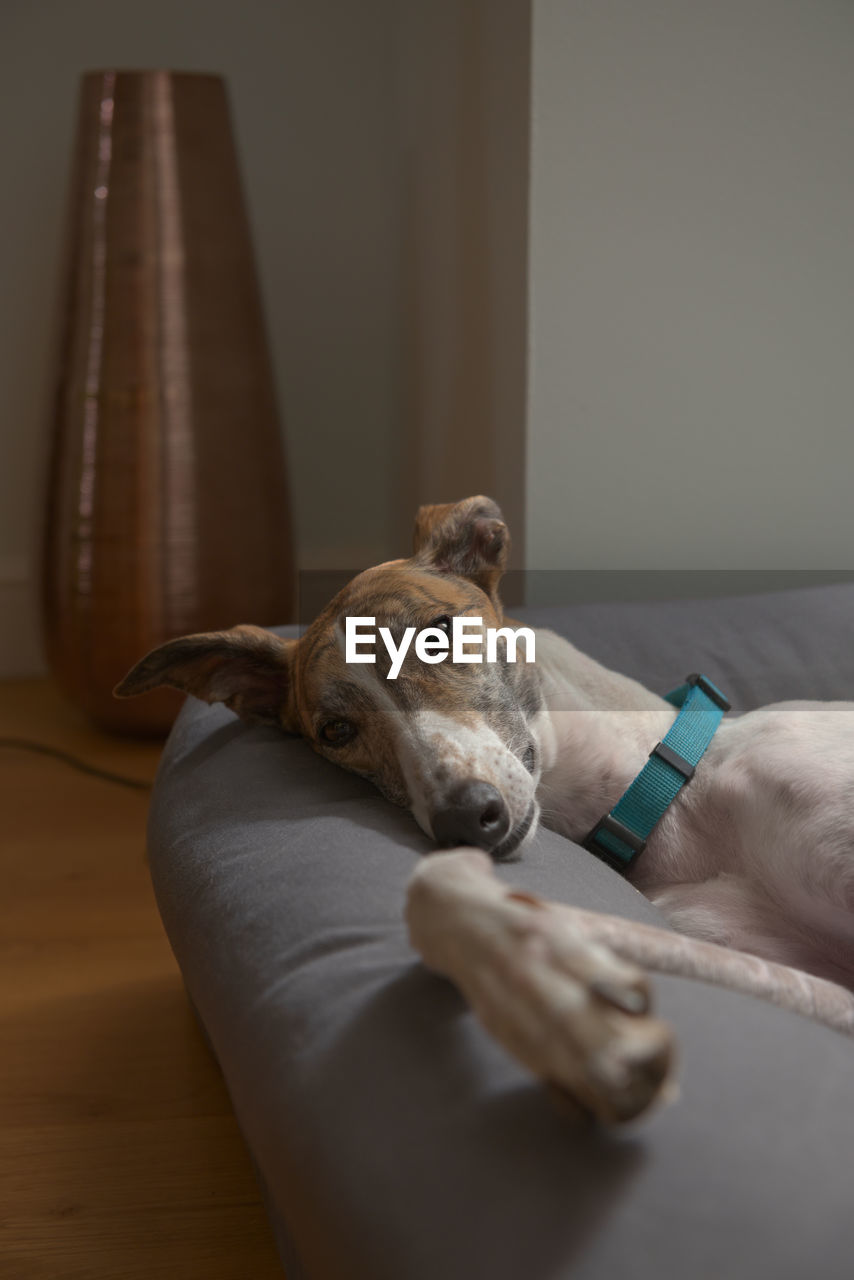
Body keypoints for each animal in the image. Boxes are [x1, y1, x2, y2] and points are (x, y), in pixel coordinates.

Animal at [118, 496, 854, 1121]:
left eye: (438, 635)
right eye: (336, 731)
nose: (466, 818)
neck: (672, 796)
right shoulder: (809, 985)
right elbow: (436, 890)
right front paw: (562, 1019)